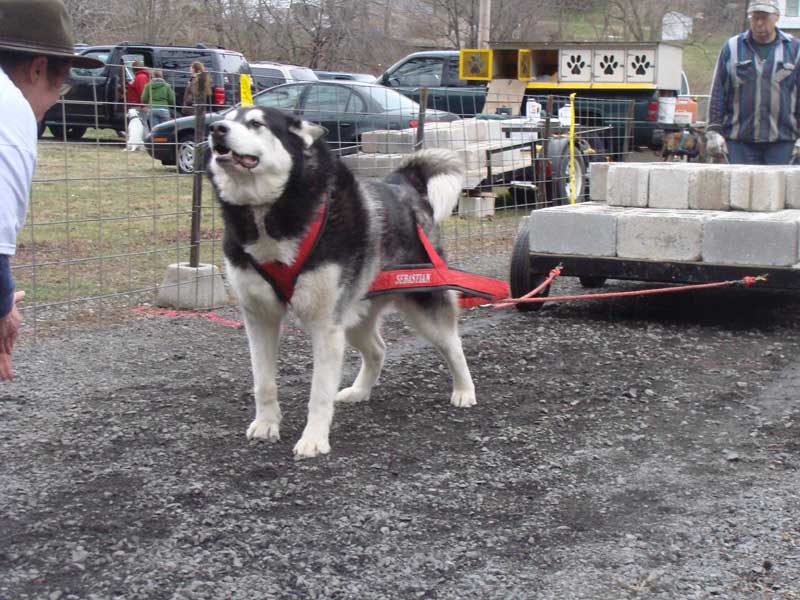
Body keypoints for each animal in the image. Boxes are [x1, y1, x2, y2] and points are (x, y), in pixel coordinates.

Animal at [209, 105, 478, 458]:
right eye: (222, 117)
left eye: (256, 123)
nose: (215, 129)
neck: (270, 215)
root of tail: (401, 182)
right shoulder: (260, 318)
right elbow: (263, 382)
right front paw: (267, 424)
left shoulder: (325, 325)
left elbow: (319, 392)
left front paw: (313, 439)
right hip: (353, 317)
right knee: (377, 349)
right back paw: (360, 390)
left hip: (423, 304)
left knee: (453, 344)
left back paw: (464, 390)